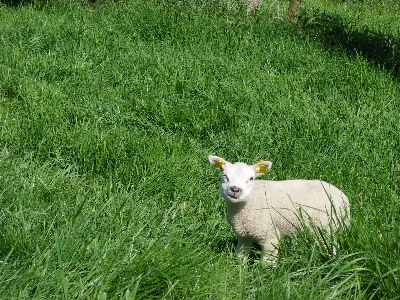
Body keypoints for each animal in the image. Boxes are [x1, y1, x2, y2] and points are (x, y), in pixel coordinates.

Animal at [209, 156, 350, 262]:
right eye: (224, 175)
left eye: (251, 178)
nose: (235, 189)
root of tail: (343, 198)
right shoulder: (243, 235)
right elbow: (241, 256)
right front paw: (240, 272)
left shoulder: (269, 234)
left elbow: (268, 263)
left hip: (326, 227)